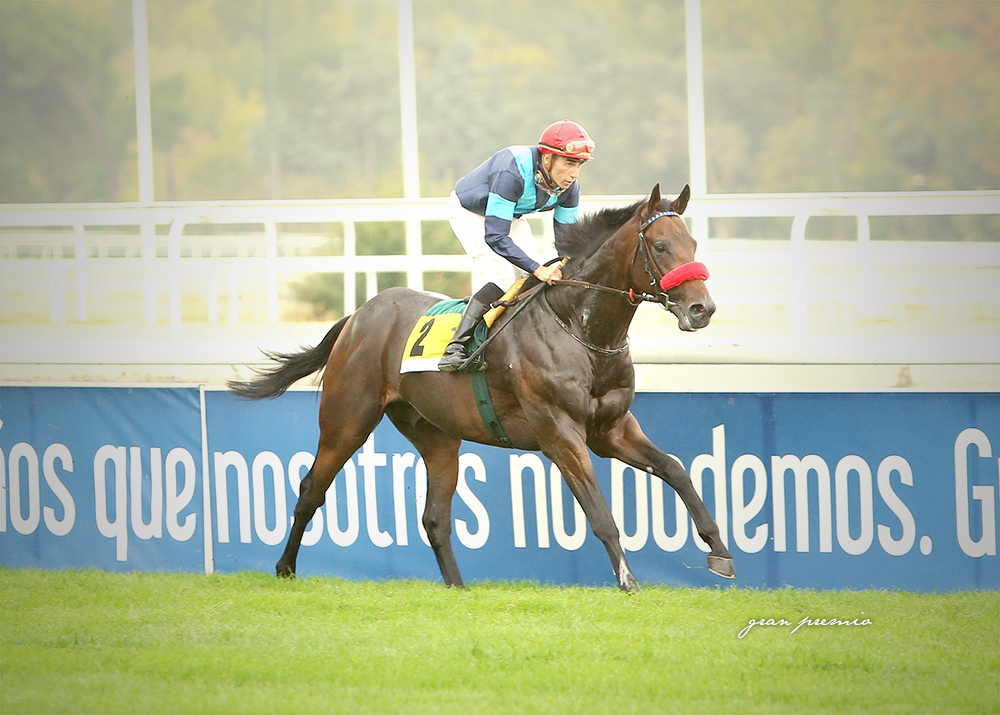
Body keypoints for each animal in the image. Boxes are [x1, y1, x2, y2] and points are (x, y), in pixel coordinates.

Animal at [230, 185, 740, 592]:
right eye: (660, 245)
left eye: (693, 242)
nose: (703, 309)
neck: (580, 328)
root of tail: (359, 314)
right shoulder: (561, 435)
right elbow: (600, 512)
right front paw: (628, 580)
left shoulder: (611, 429)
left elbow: (676, 470)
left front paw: (719, 550)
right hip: (347, 419)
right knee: (310, 489)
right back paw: (284, 568)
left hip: (436, 436)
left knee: (435, 517)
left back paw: (457, 588)